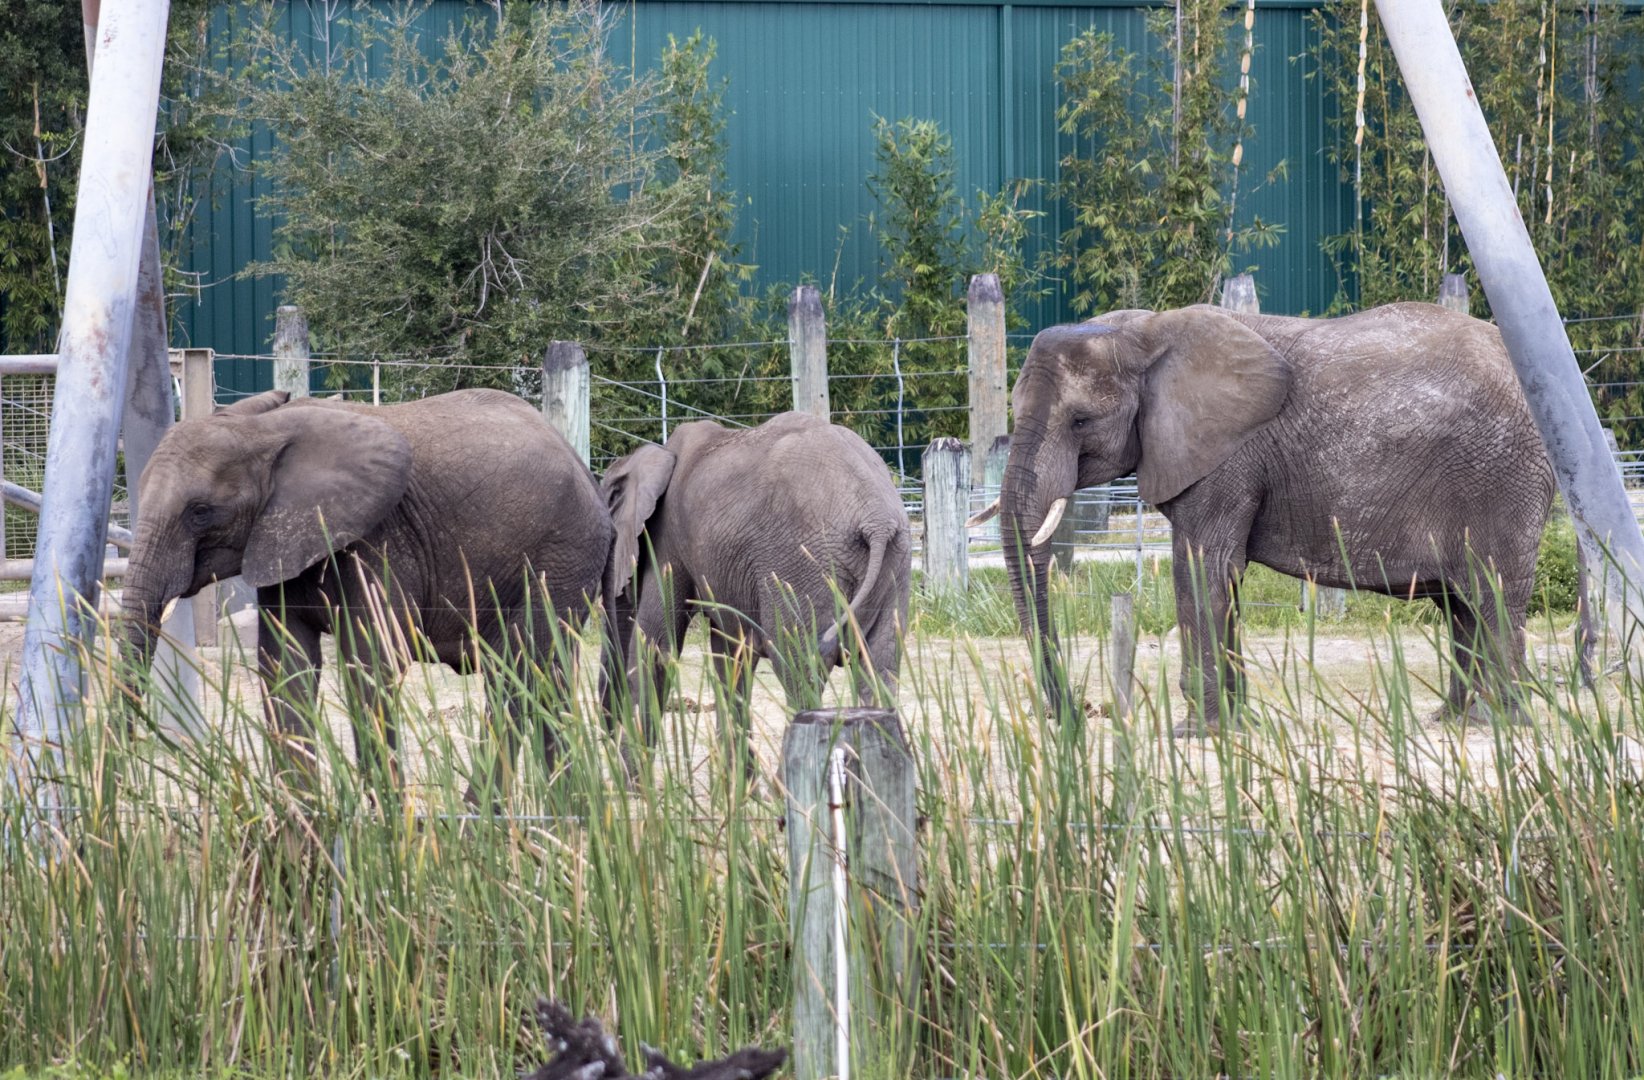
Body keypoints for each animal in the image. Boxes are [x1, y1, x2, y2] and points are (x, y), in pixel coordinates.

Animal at [121, 387, 614, 792]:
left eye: (200, 512)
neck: (263, 429)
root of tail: (587, 472)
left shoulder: (379, 540)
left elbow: (372, 665)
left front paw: (385, 826)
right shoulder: (283, 544)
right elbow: (286, 667)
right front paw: (302, 827)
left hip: (560, 556)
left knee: (517, 676)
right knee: (548, 680)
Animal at [600, 412, 912, 767]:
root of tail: (877, 519)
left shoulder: (668, 542)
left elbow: (656, 646)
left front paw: (635, 780)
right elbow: (729, 656)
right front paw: (735, 781)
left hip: (800, 567)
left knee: (799, 669)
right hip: (894, 563)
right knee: (879, 670)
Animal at [988, 301, 1580, 732]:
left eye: (1081, 421)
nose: (1077, 714)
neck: (1143, 331)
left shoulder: (1228, 455)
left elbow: (1200, 569)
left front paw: (1198, 733)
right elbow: (1219, 576)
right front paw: (1235, 725)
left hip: (1503, 476)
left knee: (1492, 592)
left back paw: (1497, 723)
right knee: (1461, 603)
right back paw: (1453, 720)